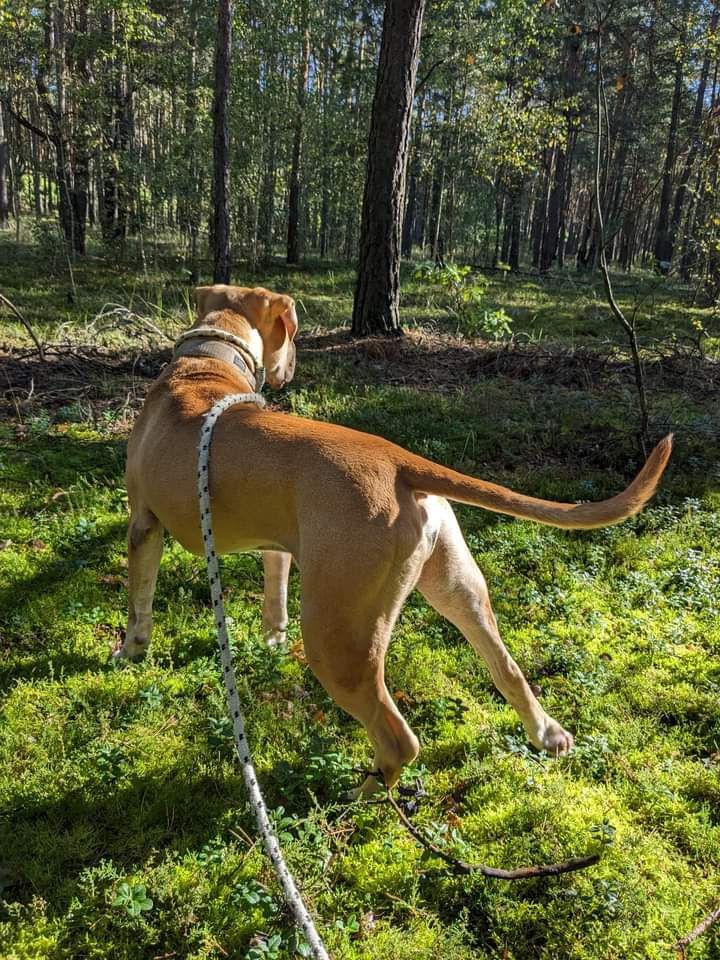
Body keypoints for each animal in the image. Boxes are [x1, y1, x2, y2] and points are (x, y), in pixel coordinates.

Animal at [119, 284, 676, 796]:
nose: (293, 366)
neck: (206, 365)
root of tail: (398, 461)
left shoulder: (143, 524)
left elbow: (139, 601)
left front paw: (129, 651)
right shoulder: (275, 546)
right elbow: (273, 596)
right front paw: (272, 642)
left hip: (337, 636)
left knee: (398, 738)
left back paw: (359, 795)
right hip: (456, 587)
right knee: (508, 670)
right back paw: (546, 734)